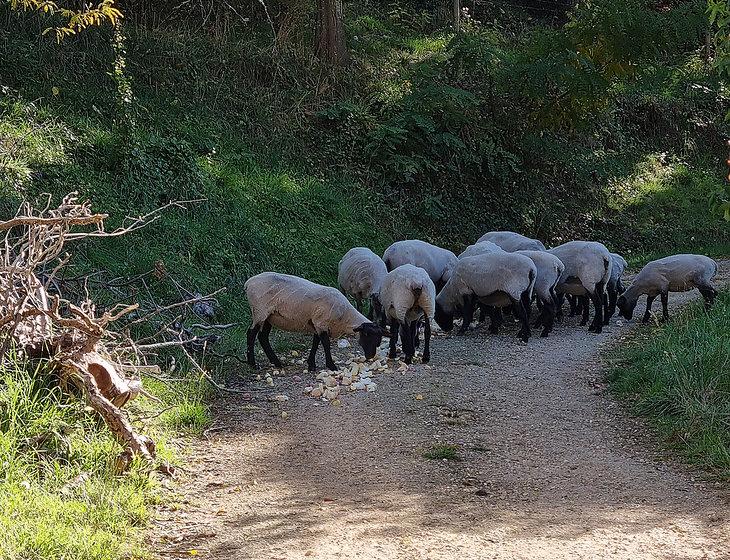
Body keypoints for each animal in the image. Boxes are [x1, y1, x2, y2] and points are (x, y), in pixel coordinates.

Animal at [245, 272, 386, 372]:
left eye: (378, 341)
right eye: (367, 336)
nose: (370, 356)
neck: (345, 316)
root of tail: (248, 283)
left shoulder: (316, 323)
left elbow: (315, 343)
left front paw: (311, 365)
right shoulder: (321, 322)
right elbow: (325, 344)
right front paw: (331, 366)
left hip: (270, 316)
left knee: (263, 337)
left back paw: (276, 362)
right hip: (260, 311)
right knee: (251, 334)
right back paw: (253, 364)